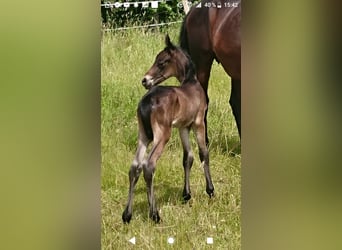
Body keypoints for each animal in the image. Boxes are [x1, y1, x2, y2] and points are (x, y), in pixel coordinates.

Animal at [122, 34, 214, 223]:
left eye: (162, 62)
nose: (145, 80)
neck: (191, 82)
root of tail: (146, 101)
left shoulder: (182, 127)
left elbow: (188, 157)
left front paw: (186, 195)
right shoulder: (198, 122)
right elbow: (203, 153)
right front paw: (210, 190)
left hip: (144, 135)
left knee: (135, 167)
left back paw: (127, 215)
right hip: (162, 134)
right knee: (148, 165)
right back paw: (154, 214)